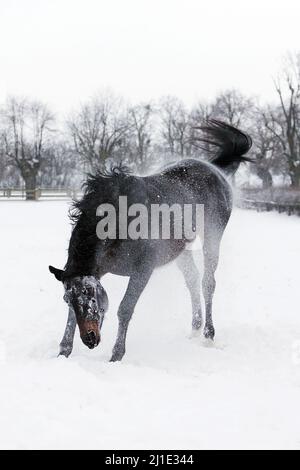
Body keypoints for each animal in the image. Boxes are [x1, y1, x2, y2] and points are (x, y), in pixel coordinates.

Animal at [50, 120, 252, 360]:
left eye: (90, 292)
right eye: (67, 299)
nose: (89, 339)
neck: (119, 221)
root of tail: (214, 169)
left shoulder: (142, 270)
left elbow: (125, 309)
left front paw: (117, 355)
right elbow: (71, 318)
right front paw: (64, 351)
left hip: (212, 236)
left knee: (207, 283)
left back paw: (208, 334)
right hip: (181, 250)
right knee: (192, 280)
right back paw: (194, 329)